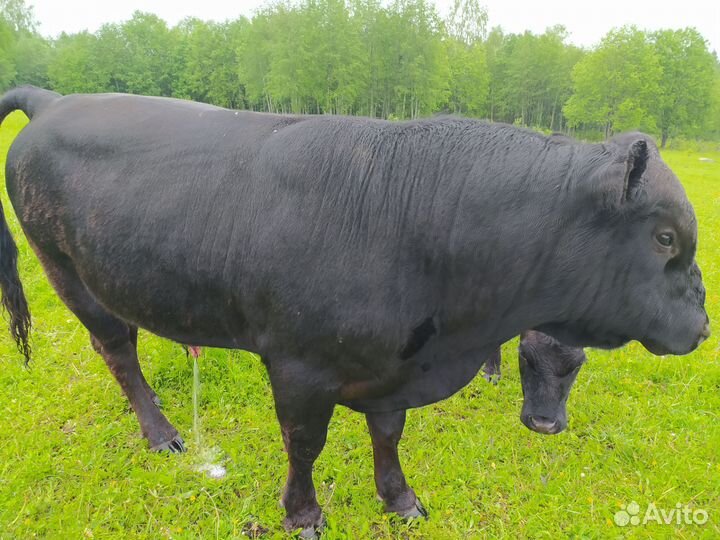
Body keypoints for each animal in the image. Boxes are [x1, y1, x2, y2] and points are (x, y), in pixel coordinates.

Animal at [0, 87, 710, 536]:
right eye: (665, 238)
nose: (703, 327)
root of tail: (55, 100)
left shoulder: (395, 361)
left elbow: (388, 433)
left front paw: (400, 500)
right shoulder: (297, 364)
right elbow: (304, 442)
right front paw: (303, 516)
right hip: (68, 275)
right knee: (118, 351)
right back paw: (161, 434)